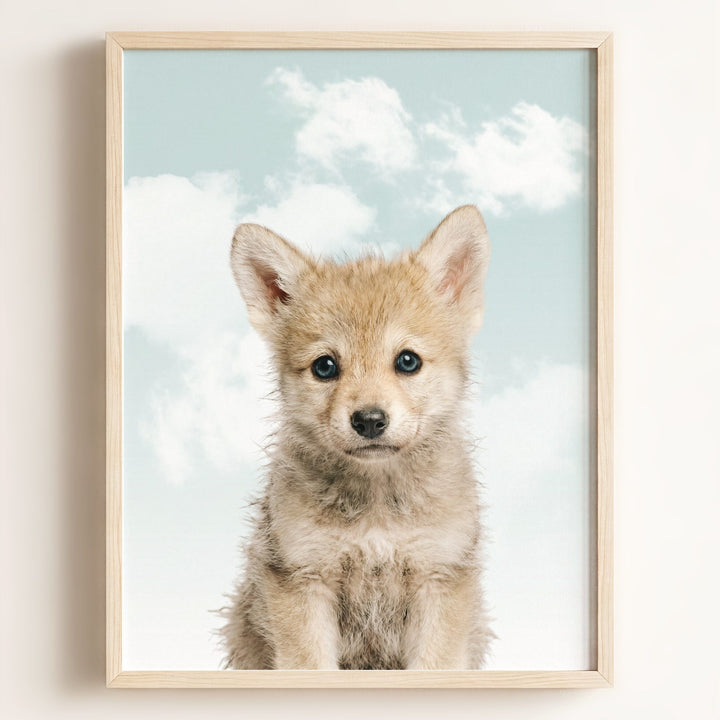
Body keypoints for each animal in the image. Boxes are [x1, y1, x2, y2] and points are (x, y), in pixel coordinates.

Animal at [221, 204, 493, 670]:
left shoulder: (439, 577)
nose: (368, 420)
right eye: (325, 367)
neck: (376, 510)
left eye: (407, 361)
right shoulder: (303, 578)